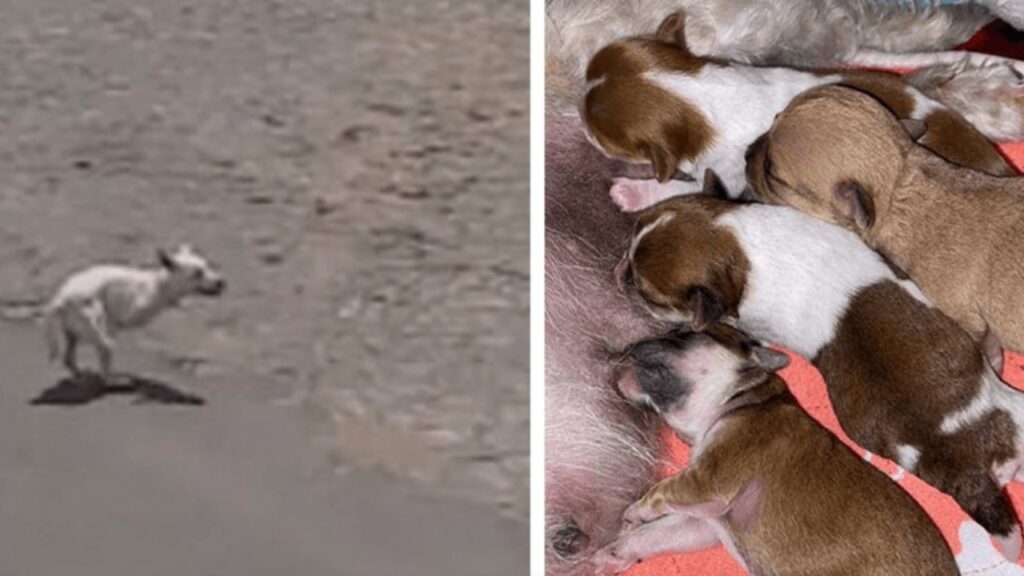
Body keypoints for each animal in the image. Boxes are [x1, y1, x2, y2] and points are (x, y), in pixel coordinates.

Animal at [44, 243, 226, 379]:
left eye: (208, 266)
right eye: (198, 273)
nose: (221, 282)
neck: (158, 284)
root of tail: (59, 300)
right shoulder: (121, 316)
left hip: (72, 334)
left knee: (69, 359)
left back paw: (82, 373)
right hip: (96, 333)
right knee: (104, 354)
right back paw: (113, 379)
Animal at [581, 12, 1011, 211]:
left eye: (598, 135)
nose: (579, 121)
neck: (701, 93)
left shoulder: (731, 176)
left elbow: (678, 187)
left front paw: (632, 191)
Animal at [593, 323, 958, 573]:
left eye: (682, 333)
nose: (633, 342)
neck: (739, 397)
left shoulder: (706, 481)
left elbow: (660, 493)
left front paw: (634, 512)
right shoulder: (704, 523)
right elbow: (655, 535)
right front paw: (612, 553)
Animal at [745, 85, 1024, 366]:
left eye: (771, 170)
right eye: (774, 117)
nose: (746, 154)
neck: (901, 183)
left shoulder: (967, 317)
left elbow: (985, 343)